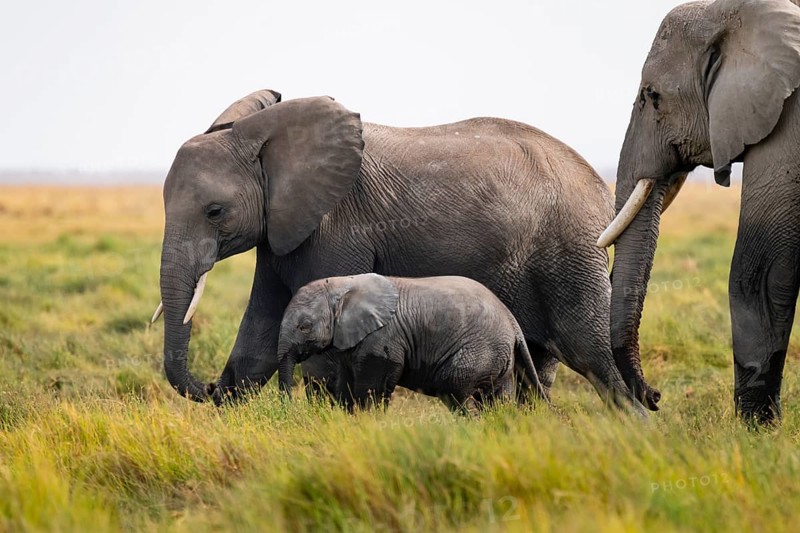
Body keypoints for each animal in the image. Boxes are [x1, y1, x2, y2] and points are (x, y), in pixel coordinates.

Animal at [276, 274, 550, 413]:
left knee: (455, 387)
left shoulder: (384, 337)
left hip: (480, 349)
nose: (290, 409)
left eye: (304, 326)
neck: (342, 284)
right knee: (497, 398)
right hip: (499, 355)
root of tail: (512, 321)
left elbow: (371, 388)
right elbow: (346, 383)